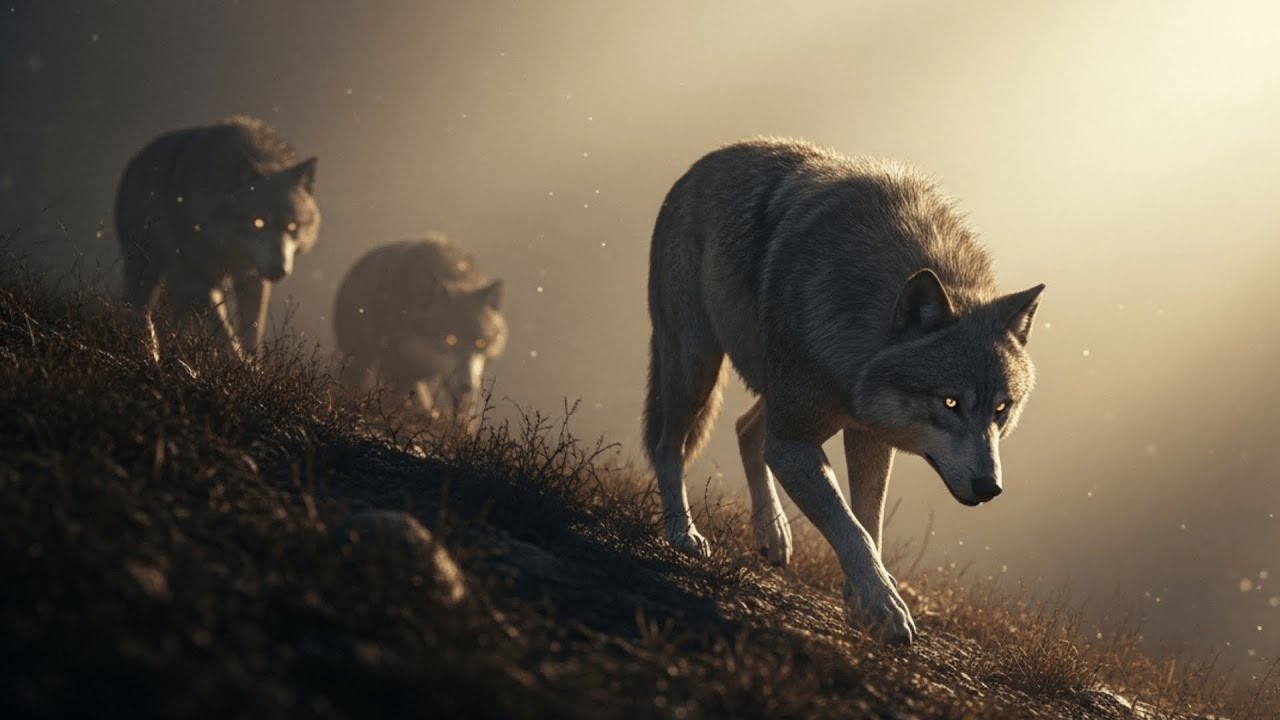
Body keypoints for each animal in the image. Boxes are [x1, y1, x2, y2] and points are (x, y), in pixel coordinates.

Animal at [115, 115, 320, 359]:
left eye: (292, 226)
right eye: (258, 222)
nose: (278, 270)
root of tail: (136, 159)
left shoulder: (253, 279)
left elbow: (252, 331)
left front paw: (255, 364)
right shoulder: (199, 280)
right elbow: (227, 338)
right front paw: (242, 367)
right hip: (146, 271)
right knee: (139, 312)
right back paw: (149, 354)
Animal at [644, 138, 1044, 644]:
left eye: (1001, 410)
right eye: (951, 403)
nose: (989, 487)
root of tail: (700, 165)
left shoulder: (868, 433)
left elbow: (867, 524)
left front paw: (864, 600)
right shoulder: (793, 442)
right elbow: (849, 527)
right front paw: (885, 606)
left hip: (772, 392)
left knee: (743, 427)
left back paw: (772, 534)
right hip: (698, 366)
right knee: (669, 446)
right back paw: (683, 533)